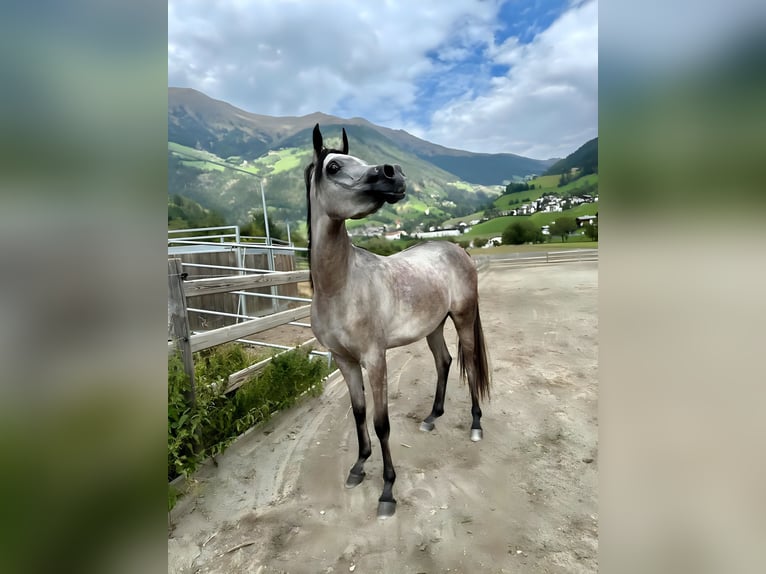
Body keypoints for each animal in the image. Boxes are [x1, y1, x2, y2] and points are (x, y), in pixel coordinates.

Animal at [306, 124, 492, 520]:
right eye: (333, 167)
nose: (394, 175)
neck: (340, 286)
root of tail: (457, 249)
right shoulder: (345, 362)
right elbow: (359, 413)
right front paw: (359, 466)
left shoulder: (375, 360)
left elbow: (381, 423)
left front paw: (388, 490)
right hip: (433, 327)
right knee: (444, 361)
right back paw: (432, 417)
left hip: (463, 318)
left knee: (468, 362)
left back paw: (475, 424)